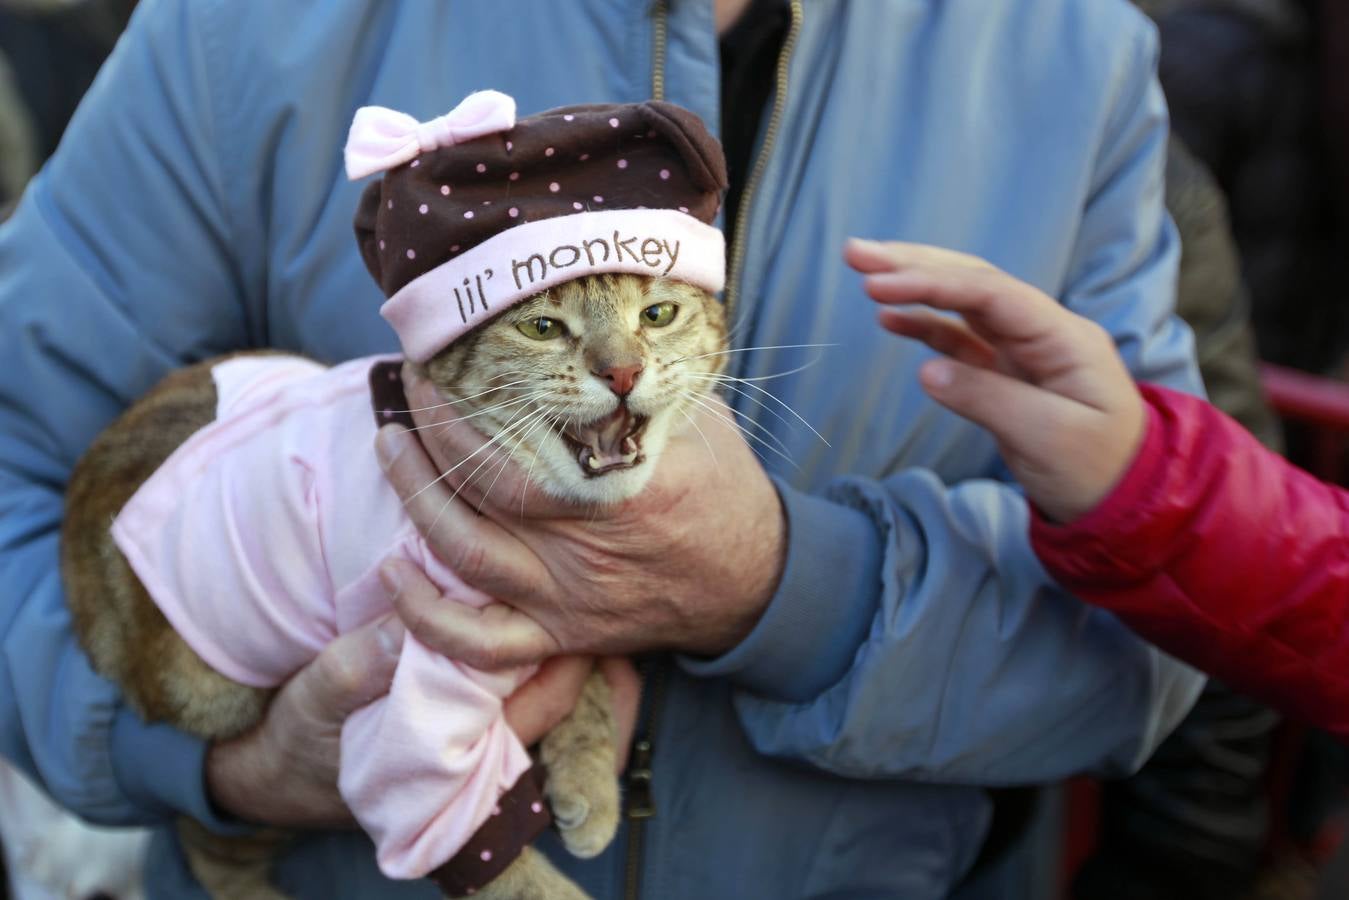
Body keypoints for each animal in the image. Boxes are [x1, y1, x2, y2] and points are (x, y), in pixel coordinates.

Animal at [62, 271, 728, 895]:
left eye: (658, 314)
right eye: (541, 327)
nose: (622, 372)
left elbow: (580, 676)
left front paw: (586, 776)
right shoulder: (408, 709)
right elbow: (484, 852)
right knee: (209, 844)